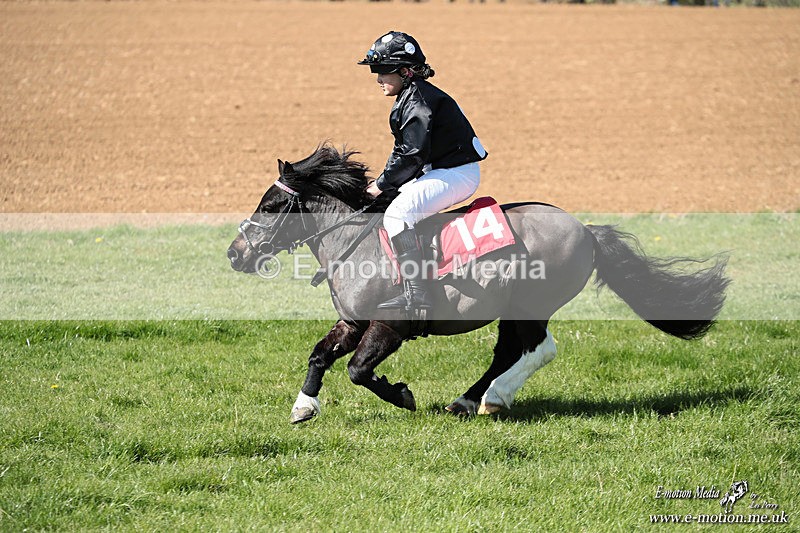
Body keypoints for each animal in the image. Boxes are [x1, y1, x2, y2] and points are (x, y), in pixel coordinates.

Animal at [227, 144, 730, 423]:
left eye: (270, 205)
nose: (235, 253)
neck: (357, 244)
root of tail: (586, 230)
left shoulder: (389, 325)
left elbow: (359, 371)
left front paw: (401, 395)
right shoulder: (352, 322)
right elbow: (320, 356)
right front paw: (303, 407)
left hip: (530, 305)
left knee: (539, 349)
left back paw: (494, 399)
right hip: (511, 308)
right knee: (508, 352)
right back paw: (469, 401)